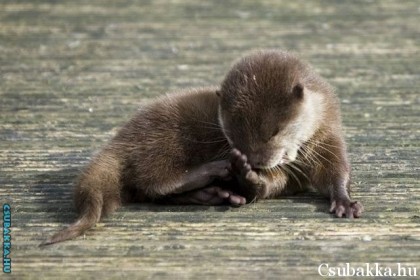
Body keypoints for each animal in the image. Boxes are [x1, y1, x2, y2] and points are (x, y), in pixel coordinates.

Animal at [43, 49, 364, 245]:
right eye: (232, 135)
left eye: (274, 131)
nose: (255, 160)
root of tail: (119, 141)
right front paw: (242, 172)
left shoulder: (327, 136)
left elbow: (333, 172)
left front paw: (345, 201)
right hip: (162, 141)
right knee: (154, 181)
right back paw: (214, 172)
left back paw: (214, 194)